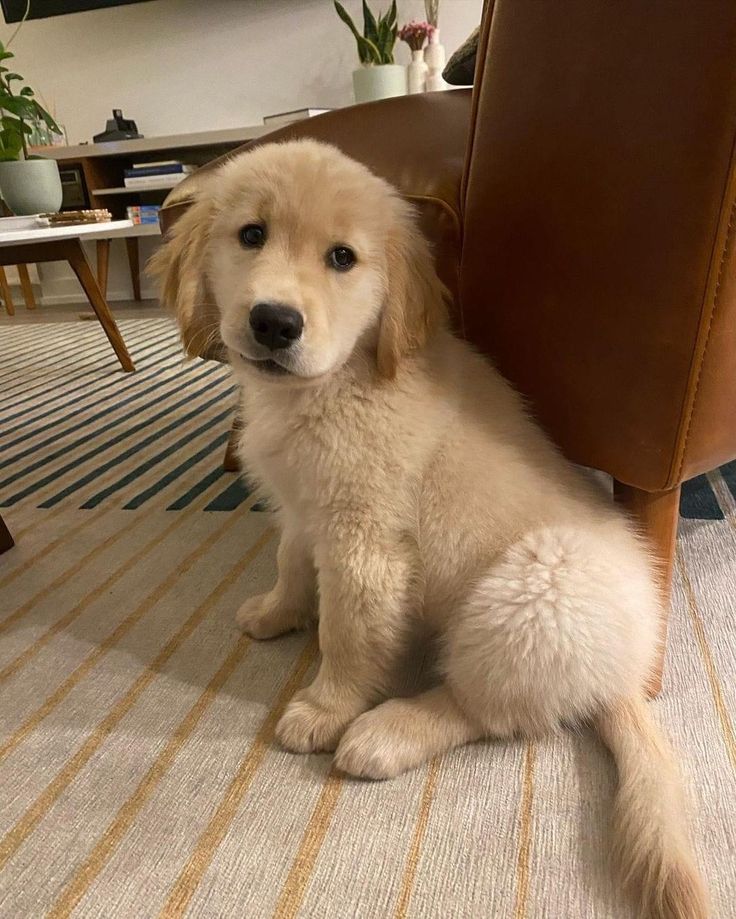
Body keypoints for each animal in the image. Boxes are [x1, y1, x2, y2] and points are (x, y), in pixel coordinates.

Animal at [152, 140, 712, 916]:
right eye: (251, 235)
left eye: (342, 258)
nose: (274, 323)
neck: (338, 381)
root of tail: (621, 675)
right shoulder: (304, 507)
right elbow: (291, 560)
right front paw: (276, 612)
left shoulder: (364, 540)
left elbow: (348, 635)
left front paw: (325, 707)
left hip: (529, 593)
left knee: (489, 710)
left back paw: (386, 732)